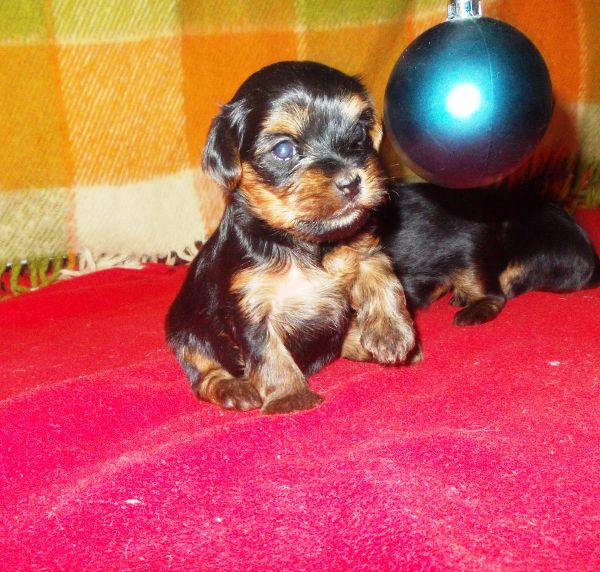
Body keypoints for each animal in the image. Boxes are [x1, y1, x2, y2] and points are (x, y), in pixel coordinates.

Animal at [166, 61, 416, 414]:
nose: (352, 182)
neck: (302, 241)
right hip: (186, 330)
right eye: (284, 149)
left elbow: (383, 276)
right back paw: (233, 388)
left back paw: (364, 342)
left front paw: (390, 332)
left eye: (358, 135)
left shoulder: (363, 250)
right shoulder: (250, 304)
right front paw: (290, 397)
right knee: (203, 371)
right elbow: (268, 353)